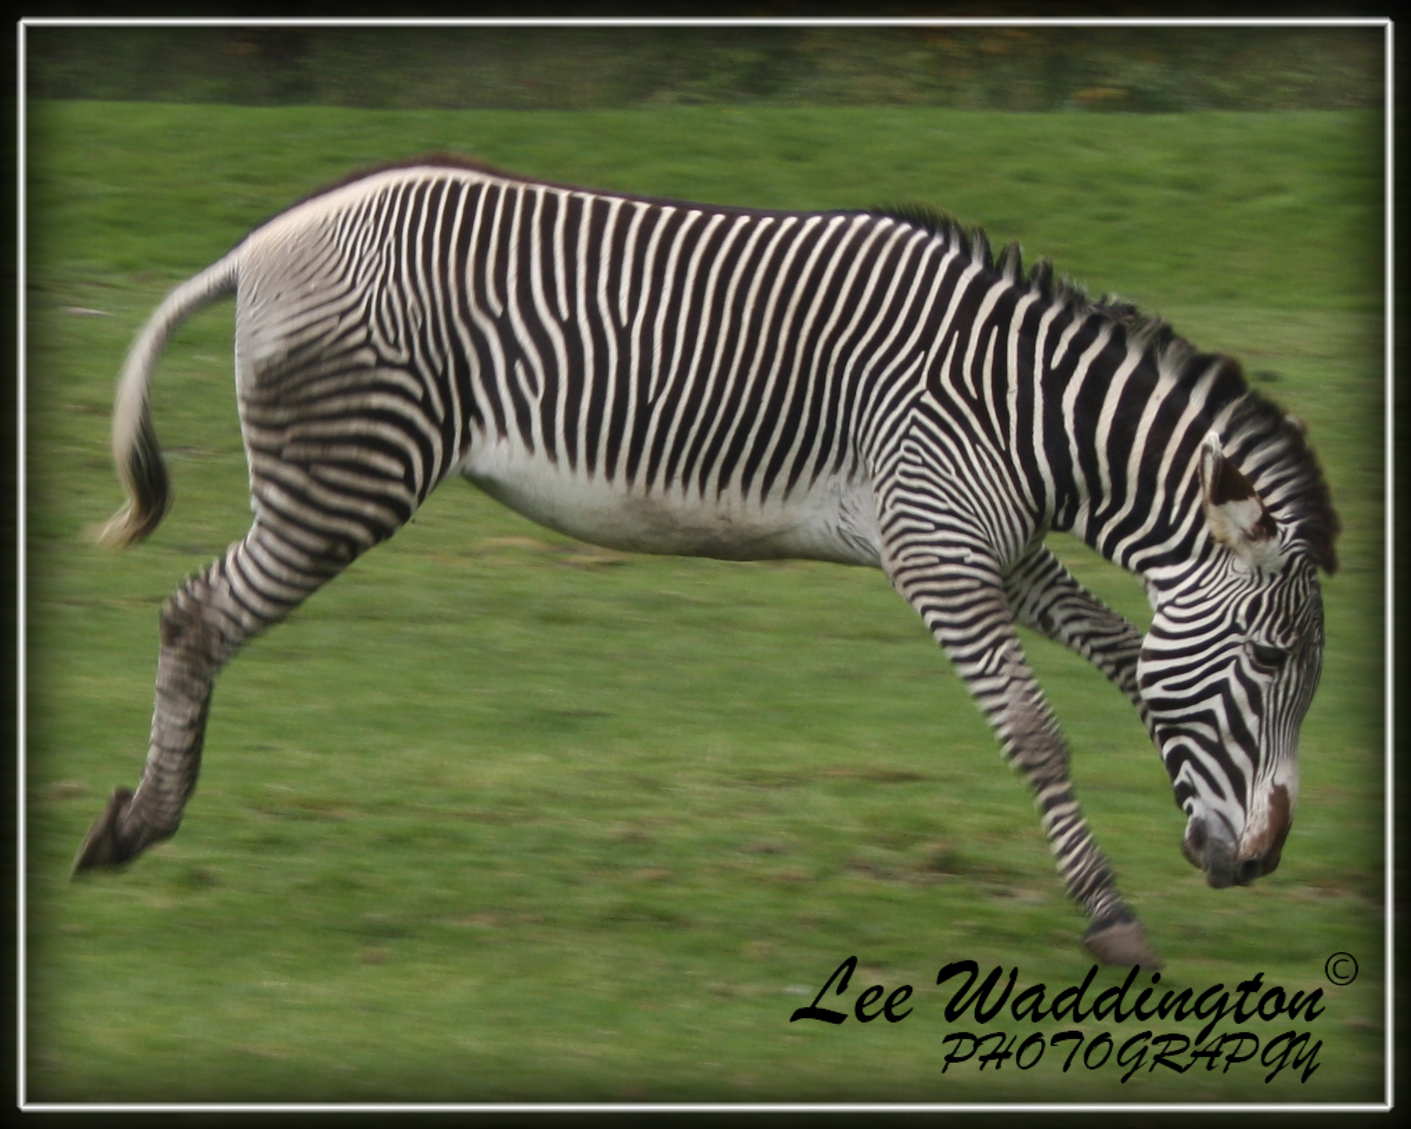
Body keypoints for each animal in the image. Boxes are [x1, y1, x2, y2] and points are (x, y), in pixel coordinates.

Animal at [73, 155, 1339, 969]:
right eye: (1271, 661)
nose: (1264, 861)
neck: (1020, 410)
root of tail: (262, 241)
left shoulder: (993, 548)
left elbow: (1128, 656)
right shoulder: (933, 547)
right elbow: (1034, 731)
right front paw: (1111, 917)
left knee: (198, 617)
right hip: (347, 475)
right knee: (194, 616)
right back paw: (138, 825)